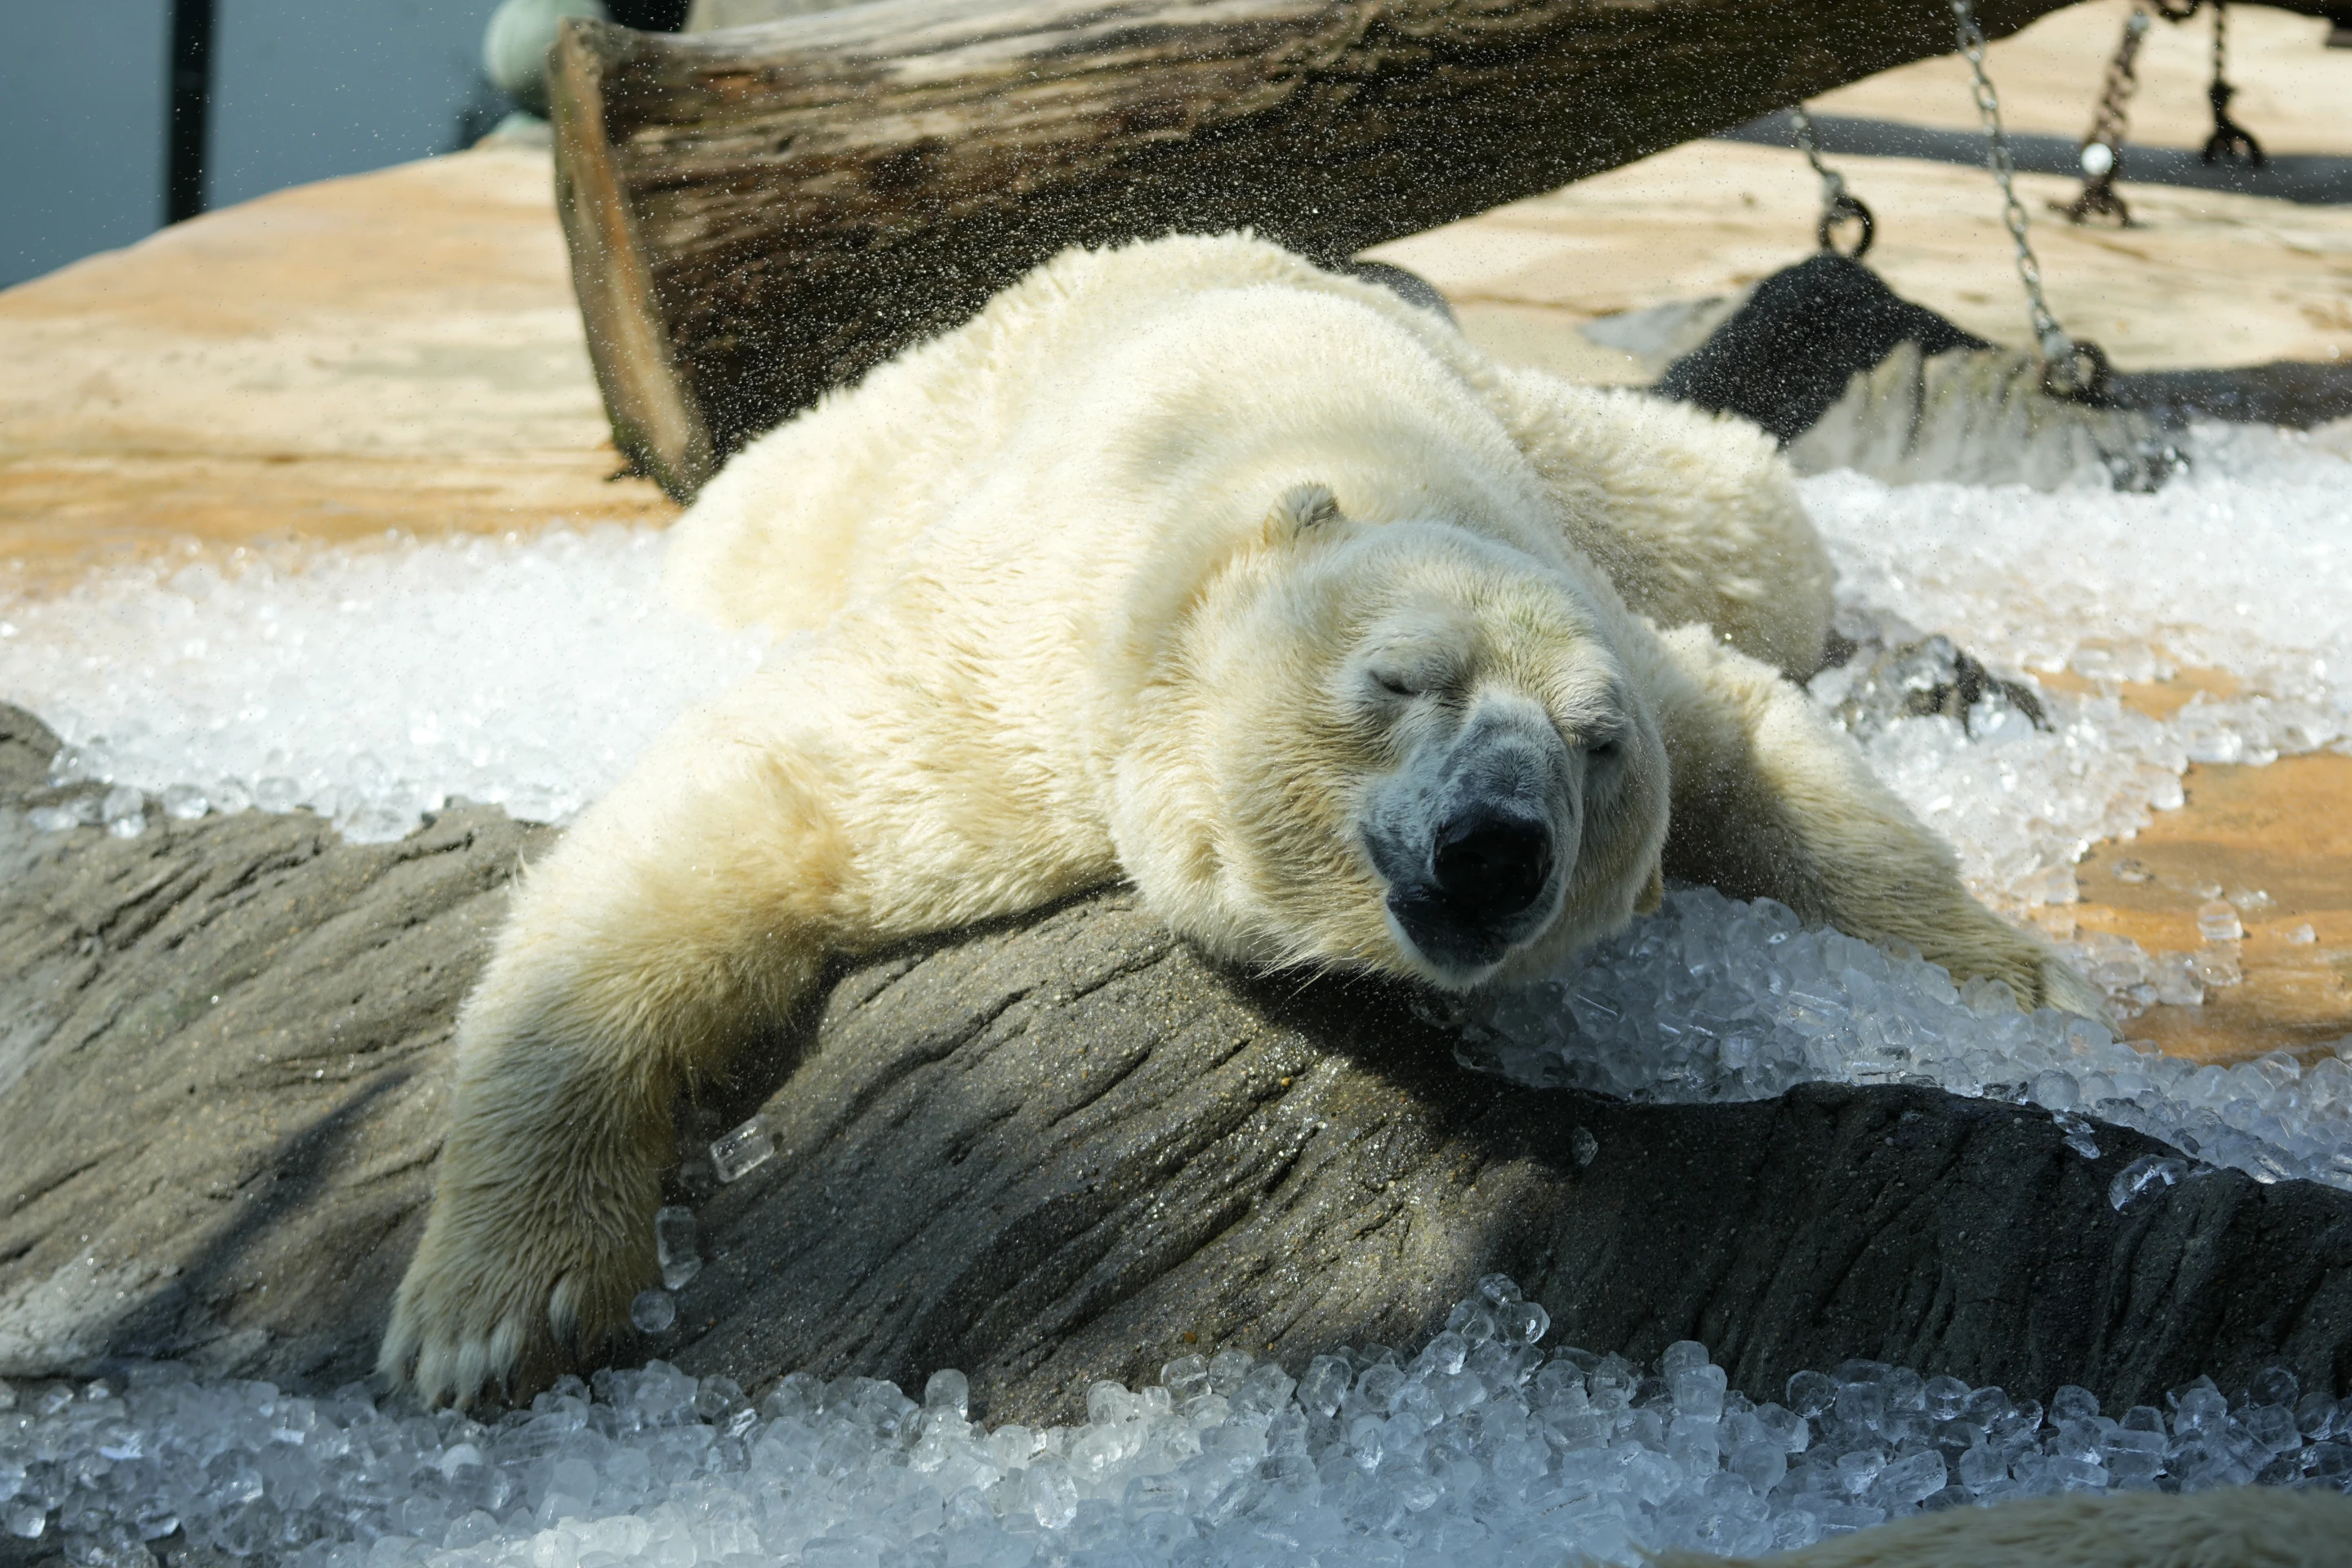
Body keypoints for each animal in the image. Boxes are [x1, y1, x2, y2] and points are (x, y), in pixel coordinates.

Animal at [376, 232, 2107, 1410]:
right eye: (1398, 680)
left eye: (1593, 749)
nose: (1498, 841)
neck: (1293, 486)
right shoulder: (1044, 684)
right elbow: (756, 806)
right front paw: (495, 1308)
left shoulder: (1604, 616)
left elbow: (1752, 741)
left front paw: (2022, 989)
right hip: (898, 446)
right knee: (753, 518)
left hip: (1600, 473)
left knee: (1747, 521)